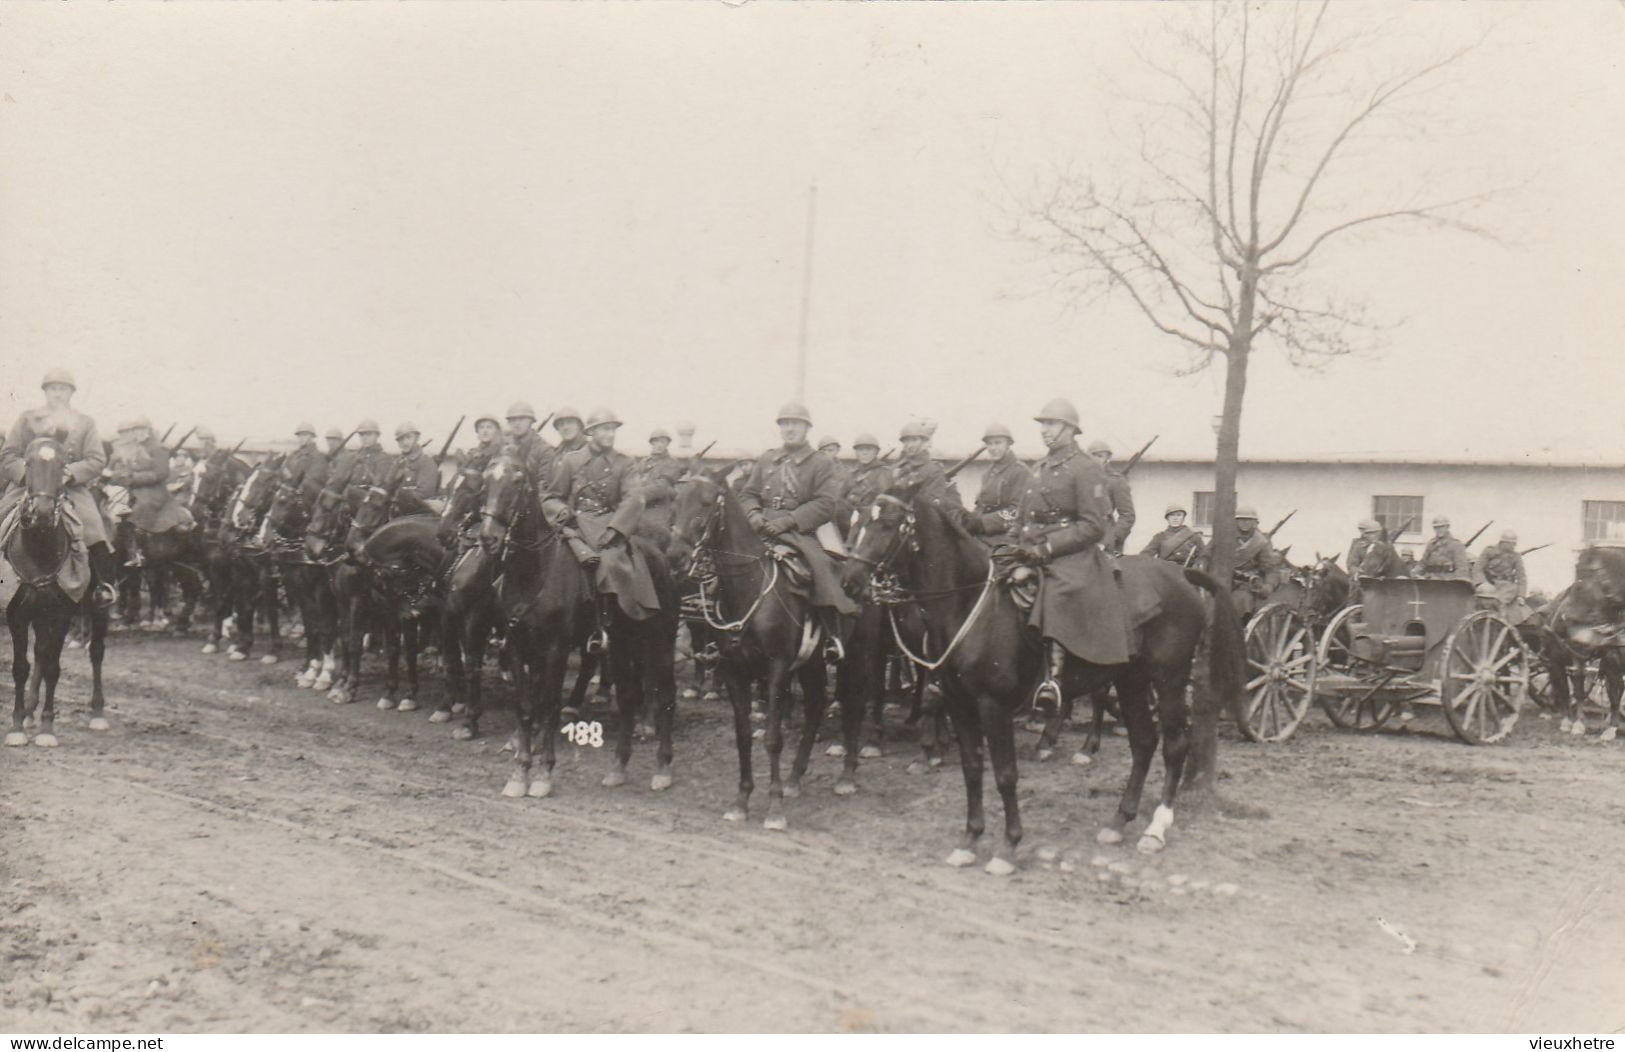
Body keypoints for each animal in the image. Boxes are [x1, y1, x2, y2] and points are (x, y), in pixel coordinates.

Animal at [4, 435, 111, 747]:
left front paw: (47, 728)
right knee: (39, 653)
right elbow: (21, 666)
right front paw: (17, 726)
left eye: (63, 464)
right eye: (28, 463)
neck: (39, 549)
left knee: (96, 651)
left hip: (98, 607)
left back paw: (97, 713)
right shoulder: (17, 614)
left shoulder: (61, 614)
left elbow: (53, 667)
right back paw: (29, 711)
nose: (40, 513)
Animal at [666, 468, 864, 832]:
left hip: (858, 657)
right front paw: (741, 801)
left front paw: (774, 808)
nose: (675, 556)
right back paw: (796, 777)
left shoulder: (776, 669)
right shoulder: (734, 671)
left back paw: (846, 776)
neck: (749, 589)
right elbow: (743, 735)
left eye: (706, 502)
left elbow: (772, 738)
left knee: (854, 705)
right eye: (675, 500)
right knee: (816, 704)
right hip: (812, 664)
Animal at [838, 484, 1241, 871]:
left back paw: (1156, 828)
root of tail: (1180, 575)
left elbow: (1005, 774)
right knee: (1143, 742)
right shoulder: (959, 703)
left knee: (1174, 746)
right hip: (1131, 680)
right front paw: (970, 839)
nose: (849, 583)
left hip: (1169, 678)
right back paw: (1118, 821)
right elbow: (972, 769)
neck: (971, 605)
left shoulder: (993, 706)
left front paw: (1008, 846)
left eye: (888, 523)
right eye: (857, 521)